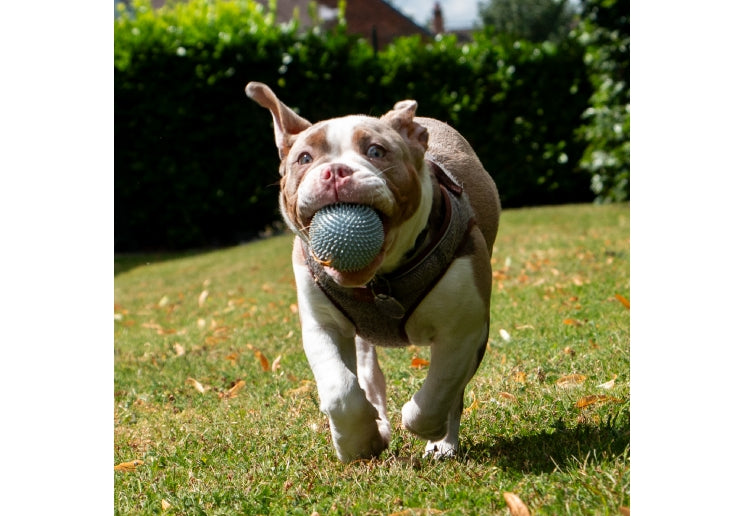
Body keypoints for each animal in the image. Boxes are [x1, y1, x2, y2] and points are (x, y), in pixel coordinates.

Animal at [247, 82, 502, 462]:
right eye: (304, 159)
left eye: (376, 151)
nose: (335, 171)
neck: (380, 280)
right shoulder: (321, 325)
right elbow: (340, 390)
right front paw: (358, 442)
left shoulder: (464, 330)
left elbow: (440, 391)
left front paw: (430, 431)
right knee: (368, 373)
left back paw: (442, 442)